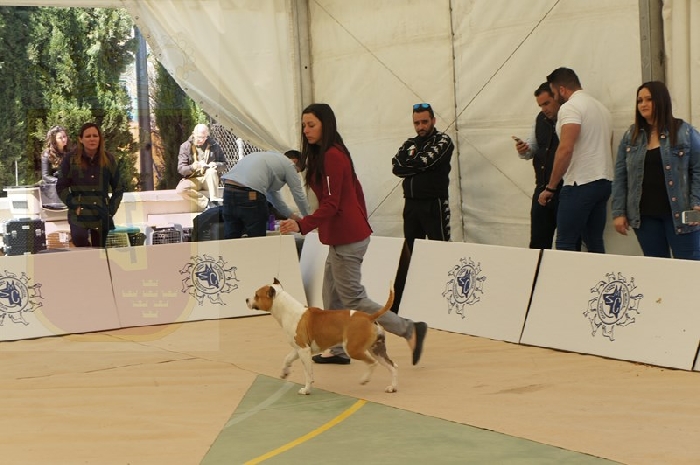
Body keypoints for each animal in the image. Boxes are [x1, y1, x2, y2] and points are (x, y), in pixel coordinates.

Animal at [246, 278, 398, 395]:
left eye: (257, 295)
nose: (246, 299)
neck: (287, 310)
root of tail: (369, 317)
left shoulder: (304, 350)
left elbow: (308, 374)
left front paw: (306, 390)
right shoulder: (298, 349)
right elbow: (287, 359)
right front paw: (284, 372)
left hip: (354, 349)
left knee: (373, 363)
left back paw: (365, 379)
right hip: (377, 349)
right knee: (392, 366)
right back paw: (392, 387)